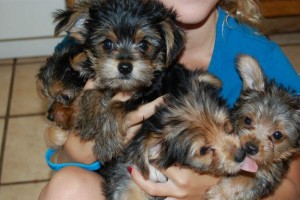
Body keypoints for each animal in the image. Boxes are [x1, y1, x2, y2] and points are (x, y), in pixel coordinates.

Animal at [205, 54, 300, 200]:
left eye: (277, 135)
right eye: (247, 120)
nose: (250, 147)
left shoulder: (267, 173)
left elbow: (246, 179)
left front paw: (220, 192)